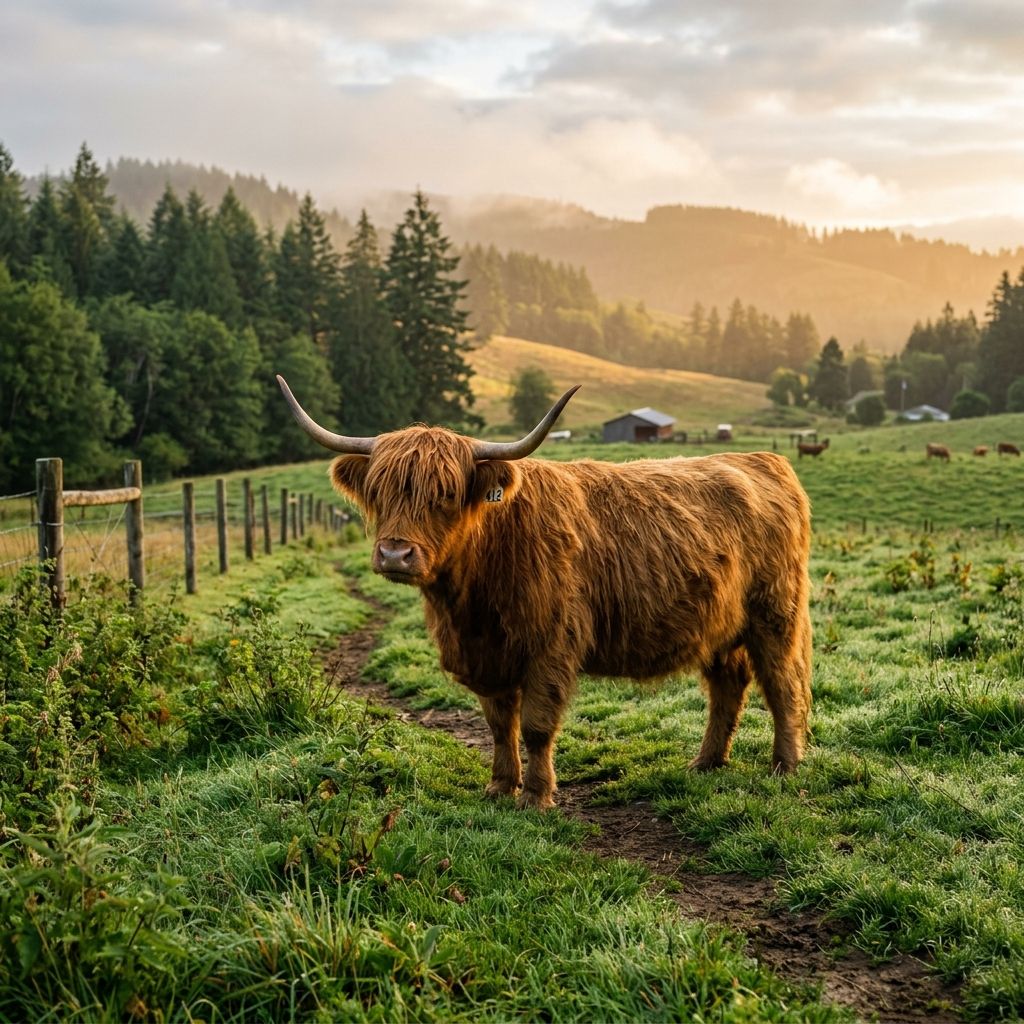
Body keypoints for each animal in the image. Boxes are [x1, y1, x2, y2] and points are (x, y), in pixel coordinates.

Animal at [277, 376, 813, 810]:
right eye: (380, 492)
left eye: (445, 494)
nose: (394, 554)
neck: (470, 601)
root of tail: (762, 459)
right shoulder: (488, 654)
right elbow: (499, 724)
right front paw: (499, 787)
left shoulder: (551, 645)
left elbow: (535, 725)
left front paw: (535, 796)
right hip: (720, 625)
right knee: (728, 685)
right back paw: (706, 763)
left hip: (775, 613)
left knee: (782, 684)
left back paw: (784, 766)